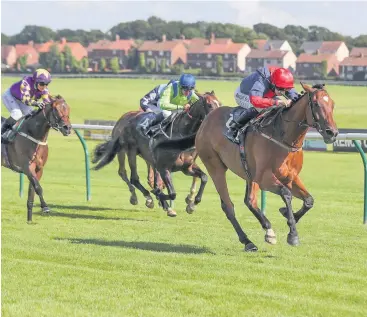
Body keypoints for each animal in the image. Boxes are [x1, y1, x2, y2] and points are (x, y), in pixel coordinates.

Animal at [92, 90, 221, 215]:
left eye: (220, 103)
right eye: (209, 104)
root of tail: (125, 120)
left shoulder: (187, 168)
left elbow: (204, 178)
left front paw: (192, 203)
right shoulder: (164, 168)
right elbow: (170, 192)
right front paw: (163, 199)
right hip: (127, 152)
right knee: (130, 176)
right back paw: (141, 198)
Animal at [196, 82, 340, 251]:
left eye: (332, 104)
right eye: (316, 104)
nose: (332, 133)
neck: (284, 137)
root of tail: (207, 119)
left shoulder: (290, 176)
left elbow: (309, 200)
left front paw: (287, 214)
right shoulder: (264, 178)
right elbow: (286, 194)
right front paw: (293, 234)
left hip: (249, 173)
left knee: (250, 200)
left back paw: (264, 231)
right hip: (215, 167)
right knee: (229, 206)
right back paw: (249, 240)